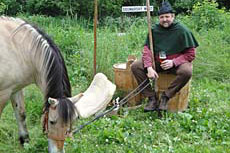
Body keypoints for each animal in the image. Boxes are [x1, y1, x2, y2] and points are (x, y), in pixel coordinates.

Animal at [0, 15, 92, 153]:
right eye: (52, 122)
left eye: (72, 122)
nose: (58, 151)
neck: (18, 48)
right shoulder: (3, 93)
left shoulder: (15, 88)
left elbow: (21, 113)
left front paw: (25, 141)